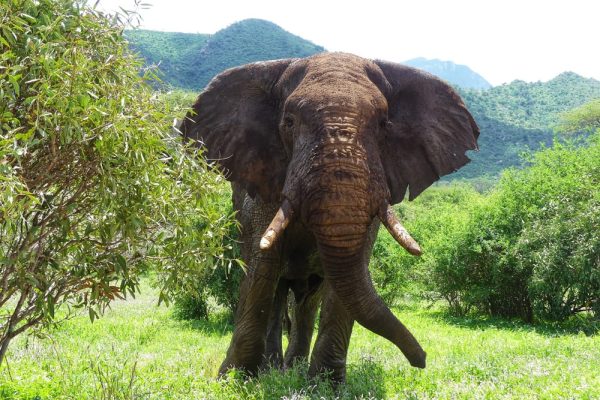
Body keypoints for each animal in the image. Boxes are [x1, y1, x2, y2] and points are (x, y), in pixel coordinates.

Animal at [180, 51, 480, 382]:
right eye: (289, 122)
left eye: (384, 124)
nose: (421, 360)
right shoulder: (262, 179)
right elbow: (261, 266)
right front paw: (233, 378)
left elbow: (350, 269)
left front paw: (326, 385)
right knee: (277, 290)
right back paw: (273, 369)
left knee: (309, 299)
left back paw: (292, 368)